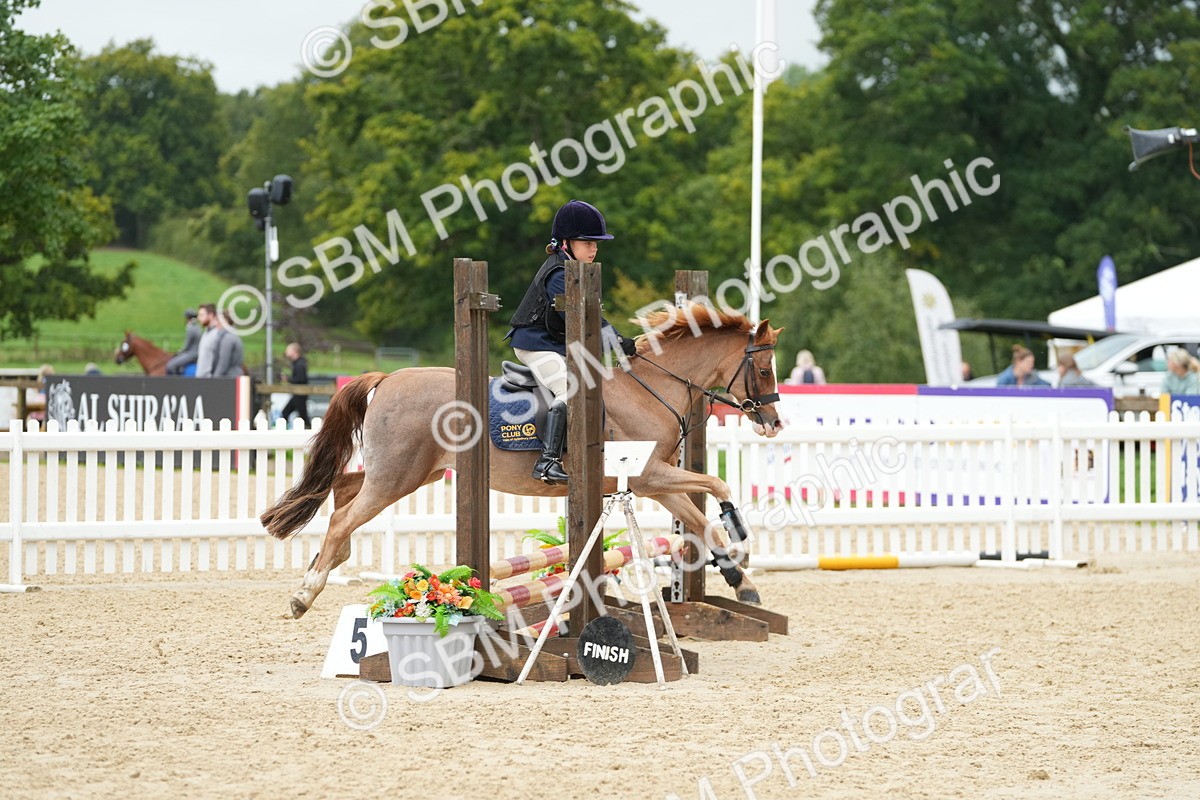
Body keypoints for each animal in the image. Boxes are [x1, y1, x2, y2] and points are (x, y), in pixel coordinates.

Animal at [261, 305, 785, 620]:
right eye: (763, 369)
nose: (774, 423)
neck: (651, 388)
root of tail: (387, 377)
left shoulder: (656, 483)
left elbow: (699, 521)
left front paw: (741, 580)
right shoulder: (652, 476)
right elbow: (717, 487)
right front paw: (740, 539)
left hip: (411, 473)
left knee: (344, 493)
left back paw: (326, 564)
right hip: (397, 476)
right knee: (345, 515)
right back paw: (304, 594)